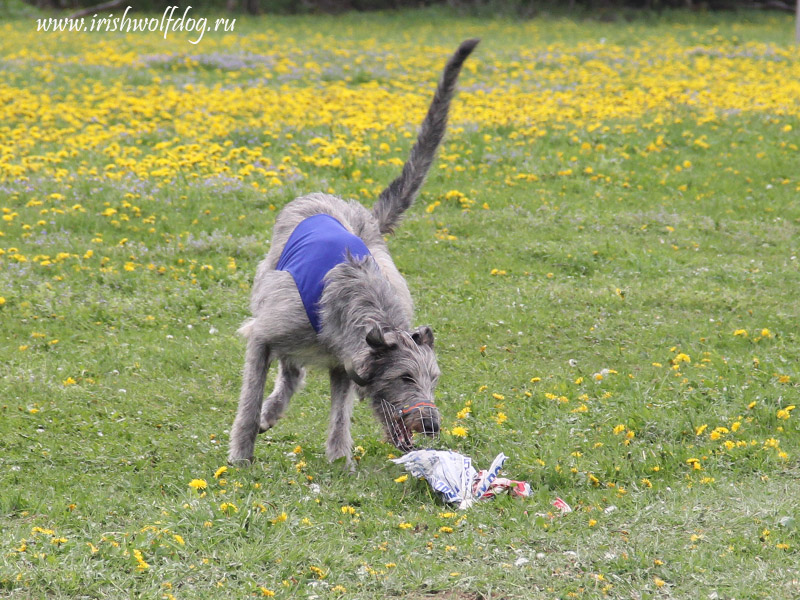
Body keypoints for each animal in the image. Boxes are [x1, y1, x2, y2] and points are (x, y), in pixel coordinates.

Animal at [228, 38, 478, 468]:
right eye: (403, 378)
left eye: (433, 379)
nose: (431, 426)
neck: (364, 298)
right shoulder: (264, 334)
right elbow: (250, 392)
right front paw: (242, 452)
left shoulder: (343, 360)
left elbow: (340, 412)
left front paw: (340, 459)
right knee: (288, 370)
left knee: (293, 372)